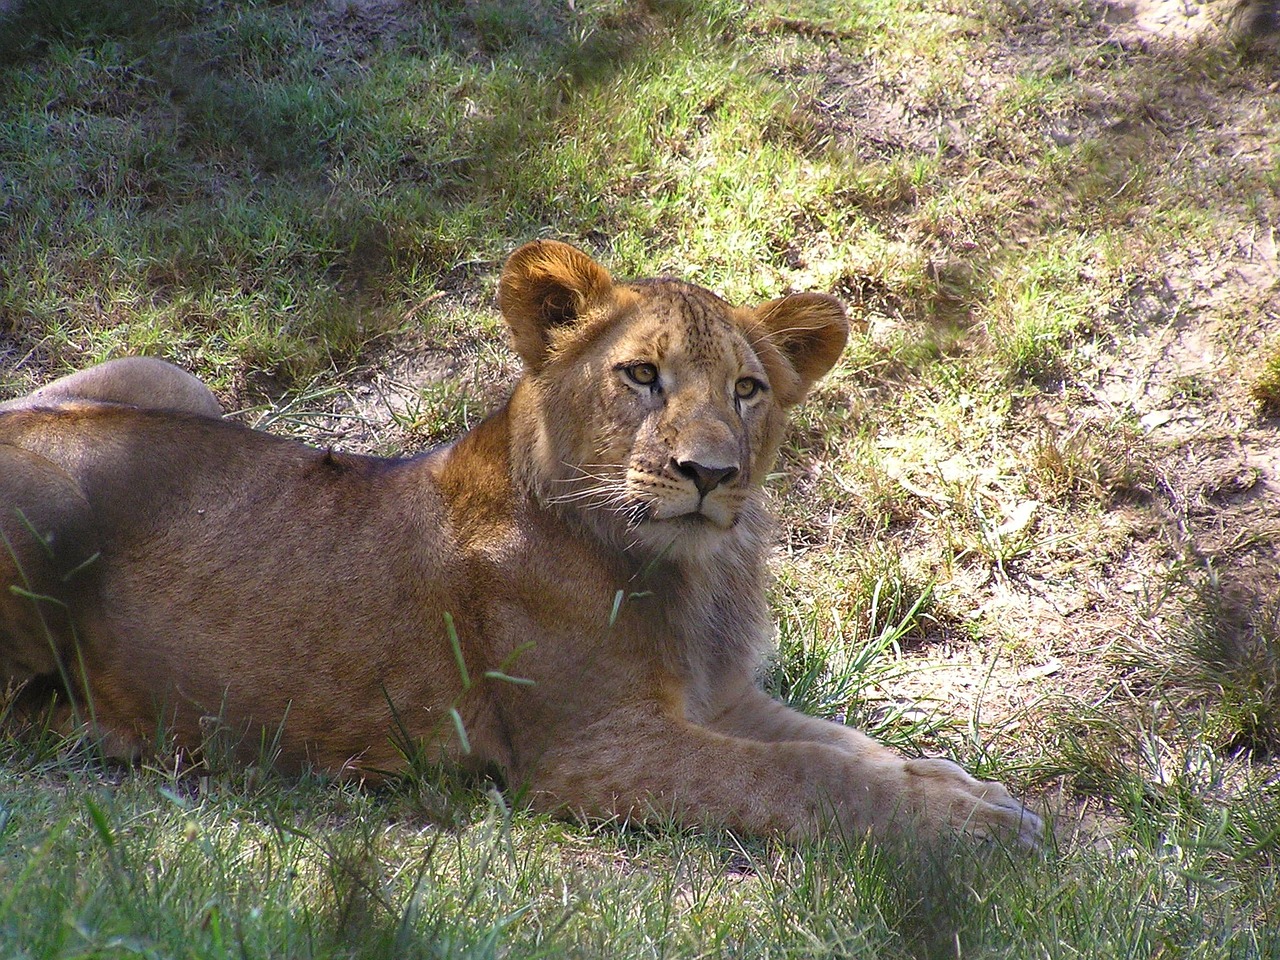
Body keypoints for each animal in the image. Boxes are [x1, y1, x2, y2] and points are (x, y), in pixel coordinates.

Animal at [0, 240, 1039, 839]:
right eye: (642, 375)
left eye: (747, 389)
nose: (711, 473)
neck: (694, 575)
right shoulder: (590, 753)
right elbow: (801, 776)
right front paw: (971, 827)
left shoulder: (722, 696)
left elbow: (844, 746)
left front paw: (967, 789)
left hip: (168, 377)